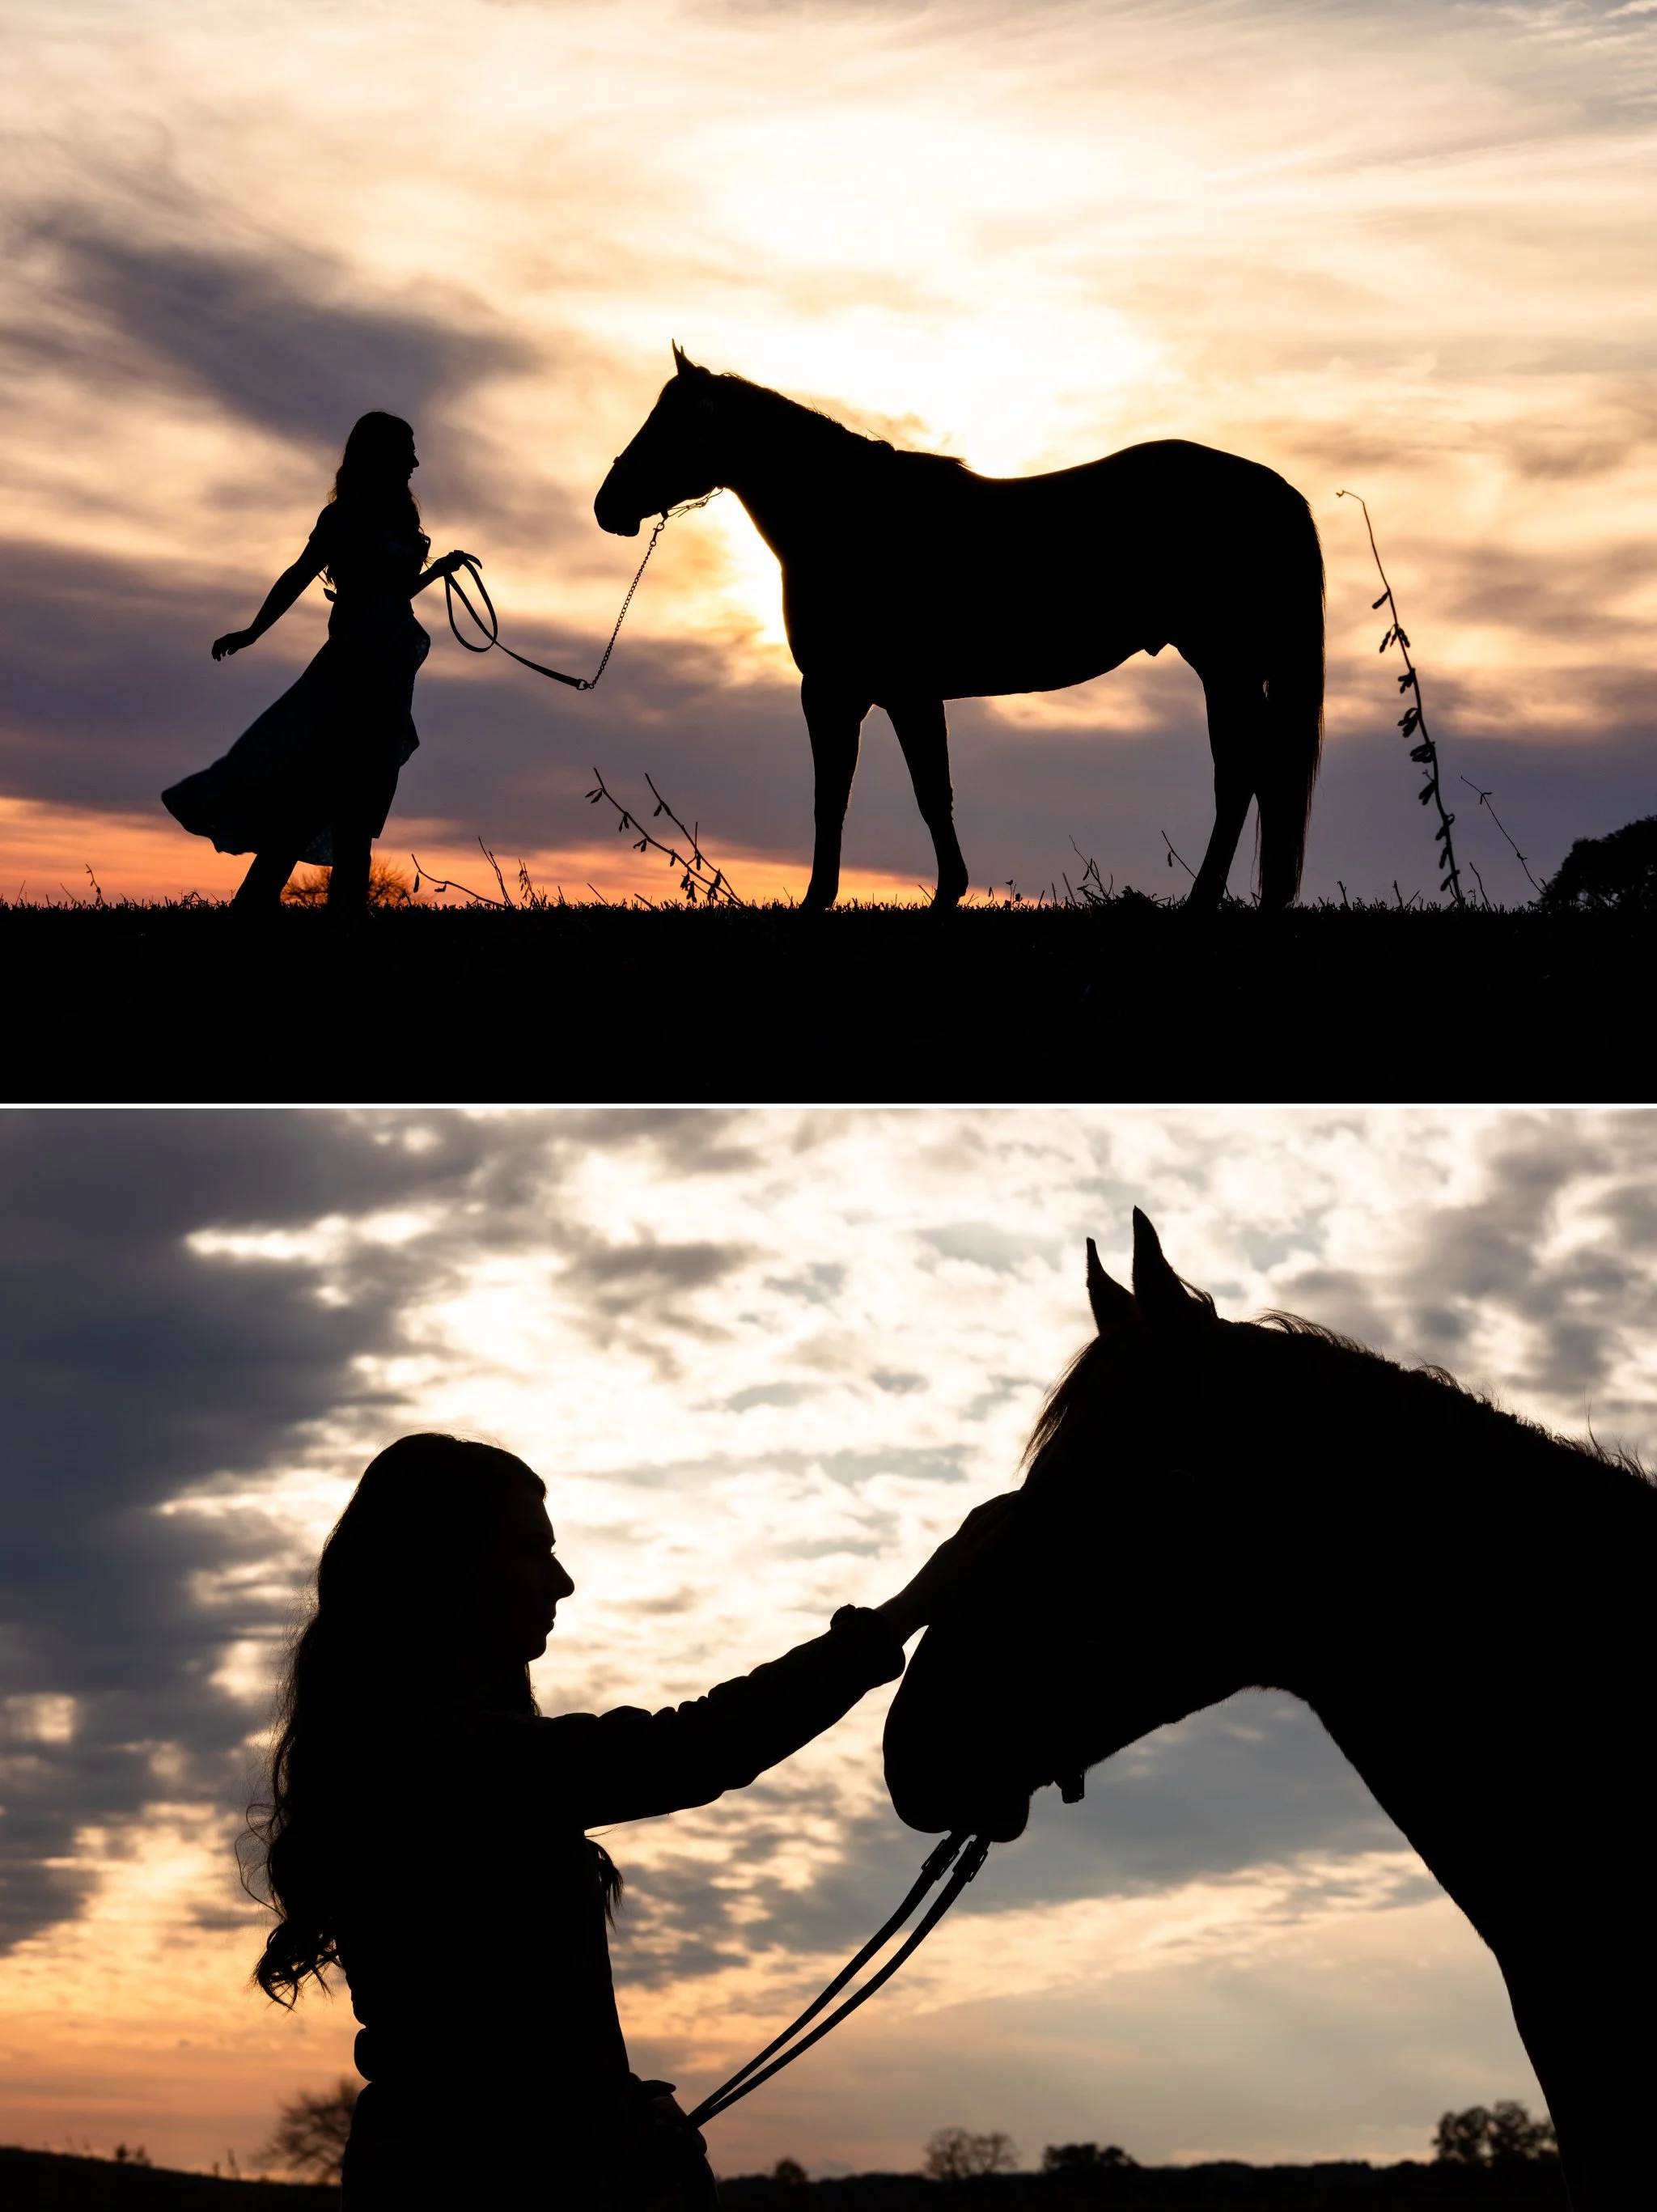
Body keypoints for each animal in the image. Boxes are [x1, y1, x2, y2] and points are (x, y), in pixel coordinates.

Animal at [594, 349, 1324, 913]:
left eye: (669, 426)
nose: (607, 507)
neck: (850, 519)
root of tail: (1274, 490)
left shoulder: (844, 692)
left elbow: (851, 794)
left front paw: (827, 900)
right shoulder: (896, 695)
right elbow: (918, 790)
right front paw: (943, 892)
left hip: (1225, 665)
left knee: (1241, 773)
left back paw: (1203, 901)